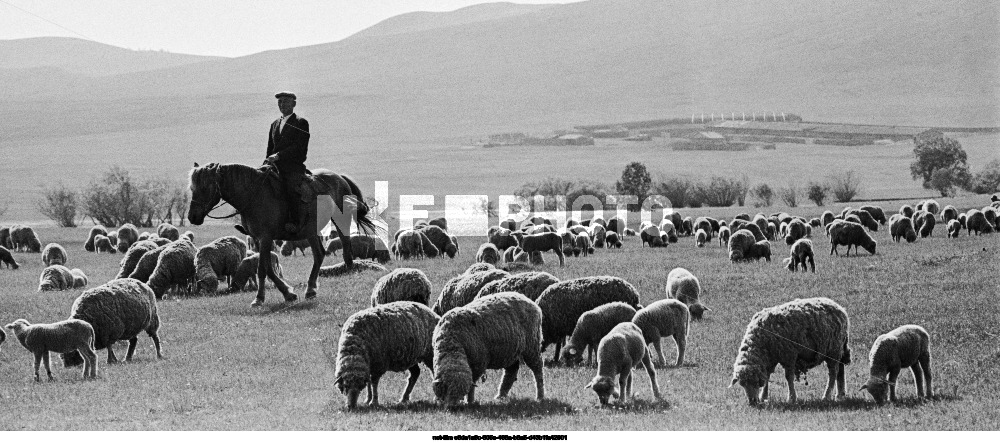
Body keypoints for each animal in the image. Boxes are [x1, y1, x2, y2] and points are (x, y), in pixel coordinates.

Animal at [188, 161, 378, 306]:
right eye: (192, 188)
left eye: (205, 187)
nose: (192, 217)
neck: (253, 196)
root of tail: (339, 177)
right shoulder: (259, 239)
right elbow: (266, 267)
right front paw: (280, 294)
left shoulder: (266, 238)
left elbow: (263, 268)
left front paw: (268, 297)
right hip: (312, 231)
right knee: (322, 254)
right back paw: (312, 288)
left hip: (338, 222)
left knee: (342, 251)